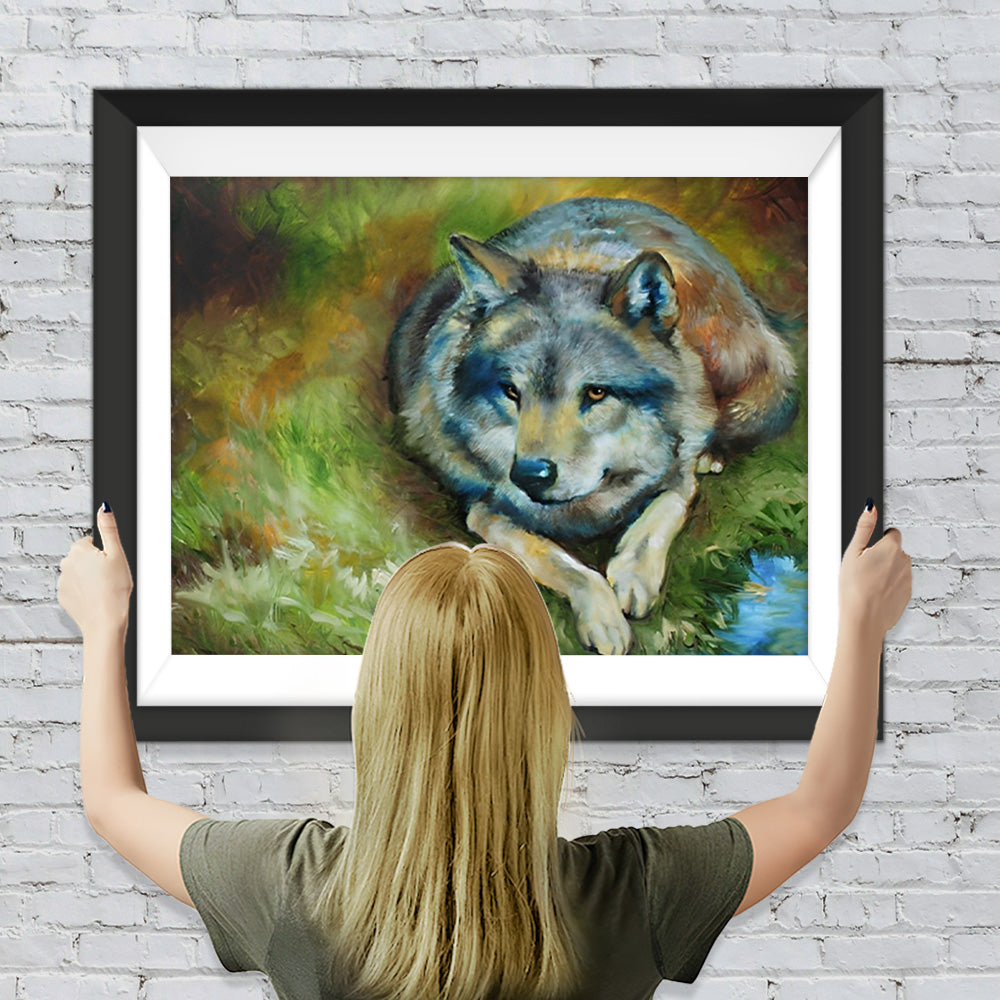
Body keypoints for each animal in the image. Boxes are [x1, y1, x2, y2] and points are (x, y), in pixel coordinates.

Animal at [385, 197, 801, 655]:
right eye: (511, 391)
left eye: (596, 393)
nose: (529, 474)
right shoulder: (487, 510)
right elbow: (562, 563)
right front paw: (603, 617)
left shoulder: (678, 473)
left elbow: (662, 511)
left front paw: (633, 577)